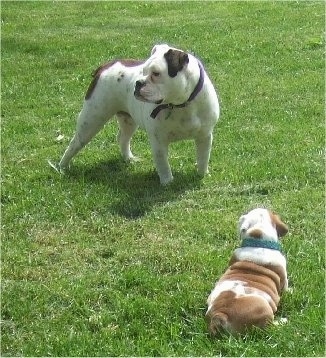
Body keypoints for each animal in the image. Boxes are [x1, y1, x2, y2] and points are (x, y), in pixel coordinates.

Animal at [57, 44, 220, 185]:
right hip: (91, 119)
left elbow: (203, 157)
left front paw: (202, 175)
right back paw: (62, 168)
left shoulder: (205, 136)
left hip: (128, 121)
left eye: (156, 73)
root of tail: (104, 66)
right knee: (75, 143)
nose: (138, 83)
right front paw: (167, 182)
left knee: (122, 138)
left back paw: (129, 158)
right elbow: (163, 163)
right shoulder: (158, 141)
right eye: (143, 70)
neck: (181, 104)